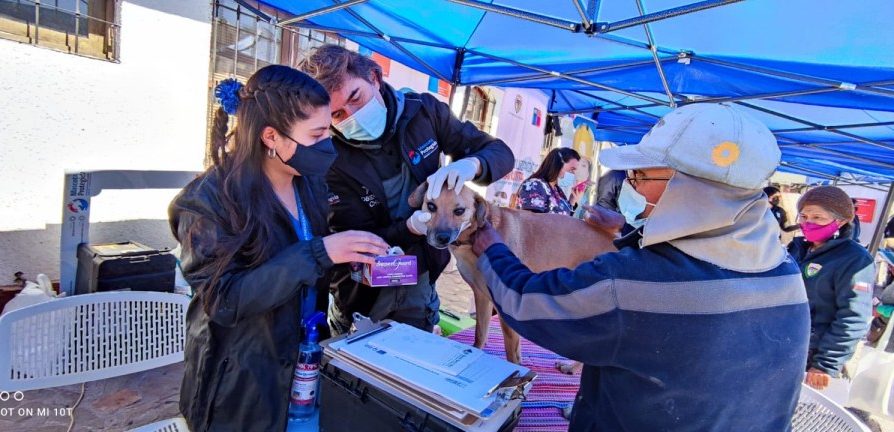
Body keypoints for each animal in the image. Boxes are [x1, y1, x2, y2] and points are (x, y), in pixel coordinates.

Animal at [412, 182, 616, 364]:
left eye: (459, 210)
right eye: (431, 206)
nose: (441, 237)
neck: (472, 238)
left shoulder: (506, 307)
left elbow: (512, 352)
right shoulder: (482, 297)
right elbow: (480, 334)